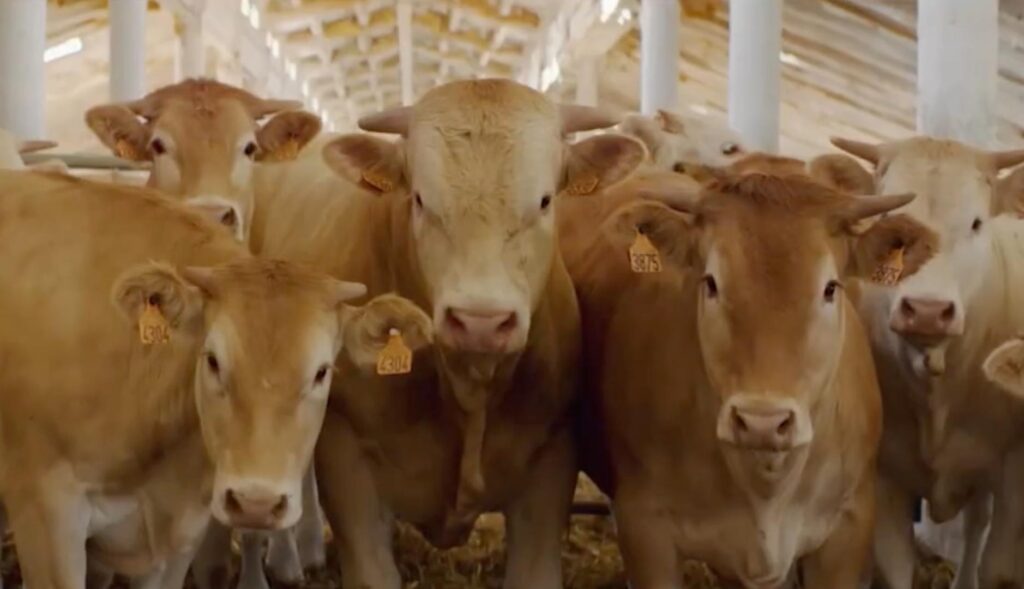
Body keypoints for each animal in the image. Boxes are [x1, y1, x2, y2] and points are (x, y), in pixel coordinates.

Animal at [245, 78, 647, 588]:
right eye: (420, 200)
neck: (467, 391)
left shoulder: (550, 462)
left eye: (544, 201)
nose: (480, 321)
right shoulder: (348, 465)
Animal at [831, 136, 1024, 589]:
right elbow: (897, 567)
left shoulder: (1012, 476)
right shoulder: (884, 476)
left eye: (976, 223)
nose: (927, 311)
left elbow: (997, 569)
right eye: (891, 221)